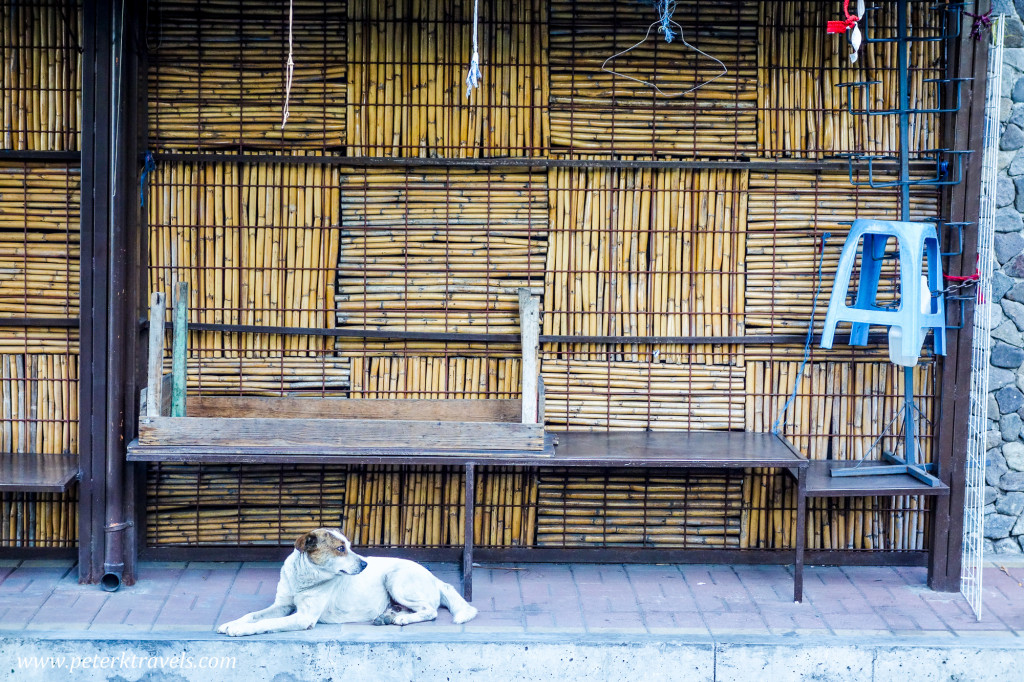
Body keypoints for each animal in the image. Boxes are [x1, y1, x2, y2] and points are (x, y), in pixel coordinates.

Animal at [218, 528, 477, 634]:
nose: (365, 565)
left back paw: (402, 619)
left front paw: (240, 630)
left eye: (350, 546)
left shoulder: (303, 617)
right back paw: (387, 616)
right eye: (341, 548)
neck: (305, 578)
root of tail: (436, 579)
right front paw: (231, 623)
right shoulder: (282, 605)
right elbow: (253, 615)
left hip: (396, 579)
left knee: (430, 610)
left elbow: (266, 623)